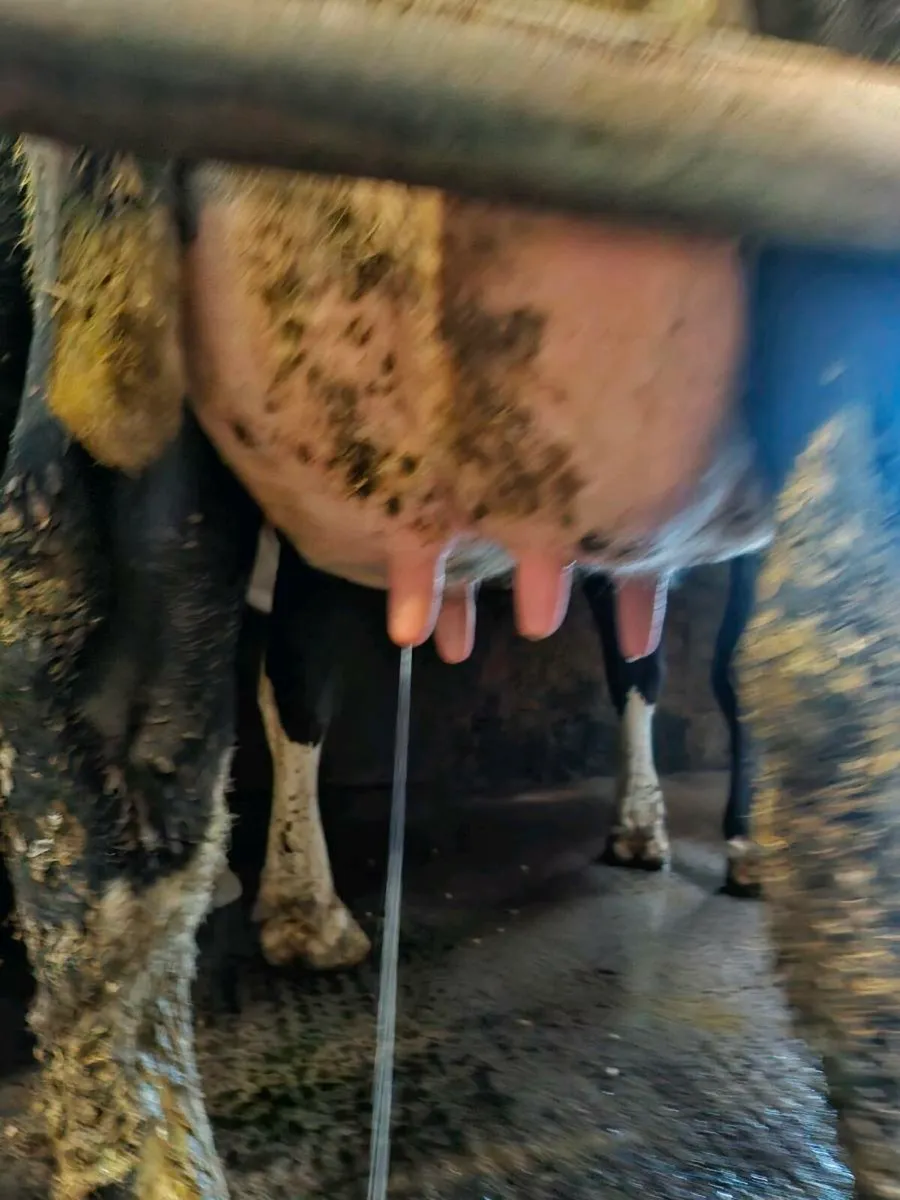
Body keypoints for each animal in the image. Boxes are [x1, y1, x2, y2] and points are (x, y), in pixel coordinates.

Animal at [1, 3, 899, 1200]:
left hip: (133, 415)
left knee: (111, 733)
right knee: (835, 688)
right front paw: (721, 838)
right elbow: (703, 670)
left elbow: (640, 663)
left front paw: (645, 823)